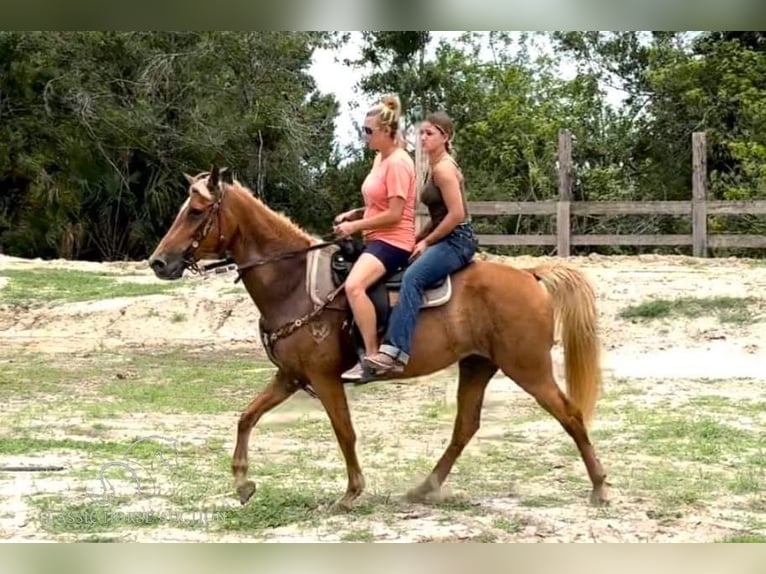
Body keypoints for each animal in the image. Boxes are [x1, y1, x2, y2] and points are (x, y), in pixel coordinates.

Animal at [147, 169, 608, 510]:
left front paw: (351, 493)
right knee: (465, 427)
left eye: (197, 211)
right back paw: (425, 487)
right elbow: (246, 416)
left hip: (528, 368)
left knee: (570, 414)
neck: (292, 282)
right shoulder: (290, 376)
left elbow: (344, 431)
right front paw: (243, 484)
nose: (158, 262)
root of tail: (531, 275)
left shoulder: (324, 377)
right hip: (478, 365)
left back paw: (600, 488)